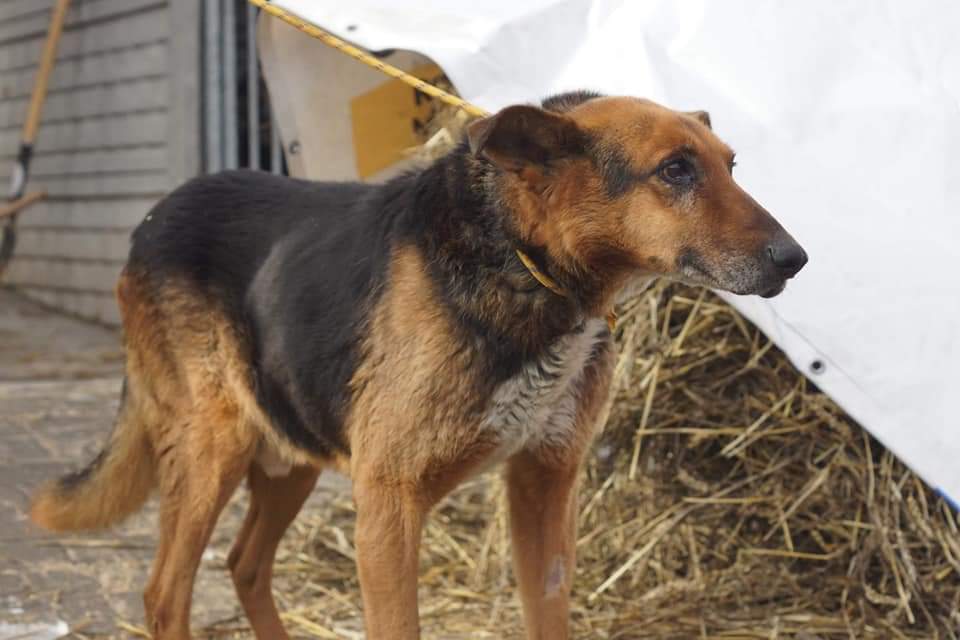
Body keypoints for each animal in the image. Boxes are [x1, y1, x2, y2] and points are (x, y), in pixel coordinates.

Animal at [29, 91, 806, 639]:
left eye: (731, 166)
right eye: (675, 170)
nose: (795, 260)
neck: (525, 263)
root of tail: (152, 218)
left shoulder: (544, 483)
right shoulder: (389, 501)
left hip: (293, 448)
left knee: (245, 566)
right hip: (212, 449)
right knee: (165, 594)